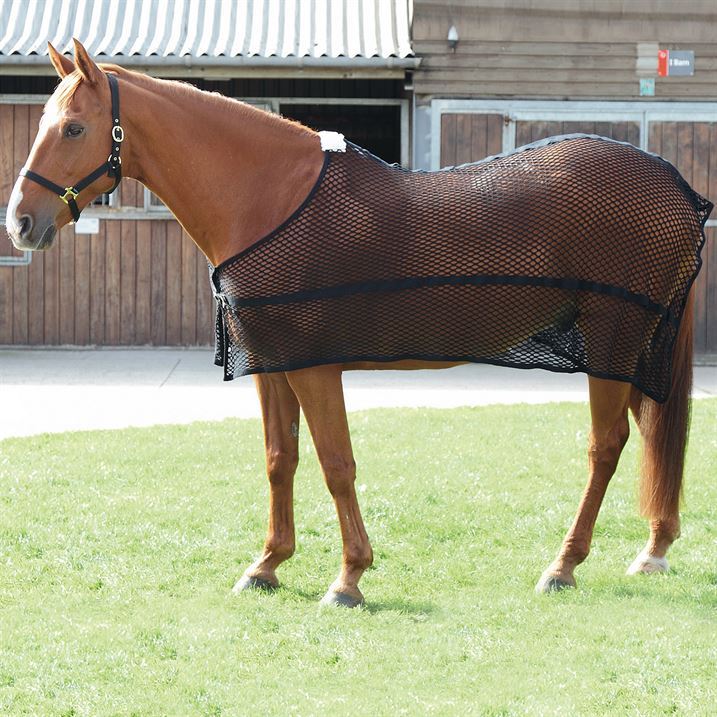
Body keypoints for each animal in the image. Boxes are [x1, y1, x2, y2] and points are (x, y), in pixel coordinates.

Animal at [5, 39, 708, 607]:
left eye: (74, 128)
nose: (20, 222)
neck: (270, 201)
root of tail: (677, 188)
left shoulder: (316, 367)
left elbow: (335, 462)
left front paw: (348, 578)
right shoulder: (275, 366)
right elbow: (280, 458)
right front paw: (267, 565)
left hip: (613, 336)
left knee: (607, 445)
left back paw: (563, 566)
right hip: (632, 344)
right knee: (652, 430)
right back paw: (653, 549)